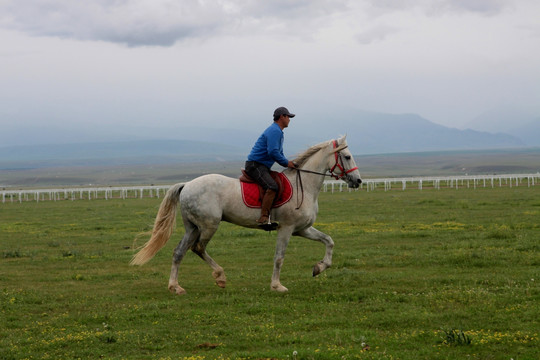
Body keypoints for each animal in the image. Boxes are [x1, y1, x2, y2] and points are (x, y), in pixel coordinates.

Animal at [130, 136, 362, 294]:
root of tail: (187, 185)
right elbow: (279, 257)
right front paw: (277, 285)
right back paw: (220, 277)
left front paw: (319, 267)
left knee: (179, 252)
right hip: (209, 225)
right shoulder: (286, 229)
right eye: (348, 157)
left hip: (192, 227)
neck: (303, 185)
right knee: (198, 248)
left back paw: (175, 287)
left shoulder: (302, 229)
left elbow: (329, 241)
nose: (358, 181)